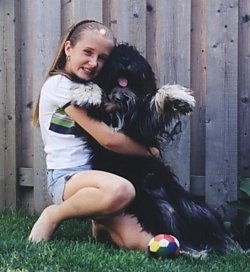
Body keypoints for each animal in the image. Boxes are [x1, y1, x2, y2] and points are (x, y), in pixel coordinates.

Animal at [70, 43, 234, 256]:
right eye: (115, 55)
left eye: (133, 54)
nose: (125, 61)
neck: (121, 104)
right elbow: (93, 90)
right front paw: (86, 92)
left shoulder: (141, 125)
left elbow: (152, 105)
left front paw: (177, 98)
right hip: (154, 209)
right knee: (172, 230)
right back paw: (194, 251)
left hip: (196, 208)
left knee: (209, 225)